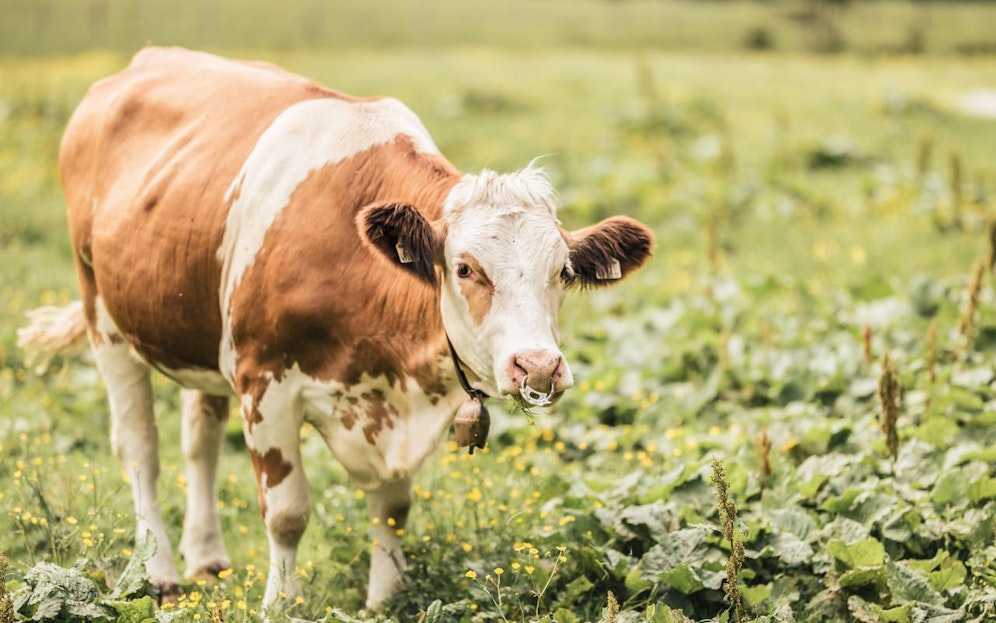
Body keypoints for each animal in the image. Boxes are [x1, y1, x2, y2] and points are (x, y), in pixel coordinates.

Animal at [19, 47, 656, 616]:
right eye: (465, 268)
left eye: (563, 271)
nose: (539, 367)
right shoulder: (263, 382)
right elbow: (286, 512)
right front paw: (282, 603)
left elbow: (393, 506)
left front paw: (386, 597)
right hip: (106, 317)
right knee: (139, 447)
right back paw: (159, 572)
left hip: (199, 332)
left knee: (199, 438)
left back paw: (206, 557)